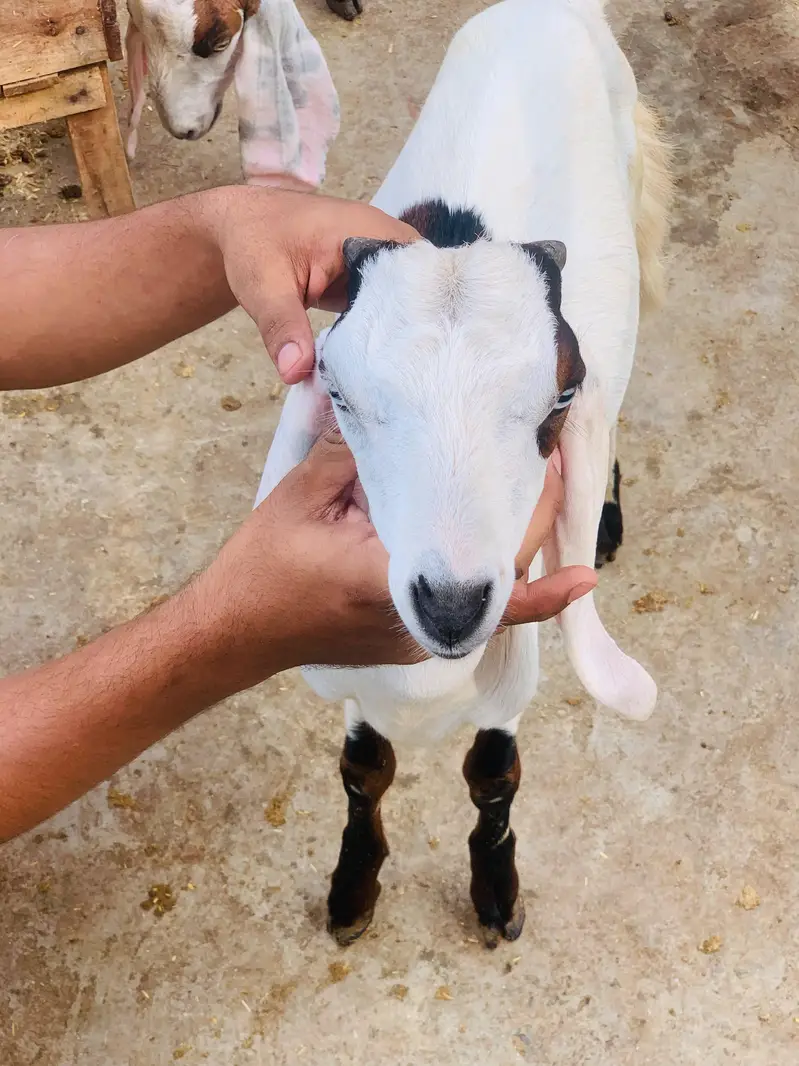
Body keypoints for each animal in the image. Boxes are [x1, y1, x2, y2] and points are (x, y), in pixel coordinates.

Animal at [256, 0, 673, 948]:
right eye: (338, 393)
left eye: (560, 395)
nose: (449, 604)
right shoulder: (359, 683)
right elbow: (363, 768)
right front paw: (352, 891)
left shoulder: (509, 669)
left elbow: (492, 775)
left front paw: (495, 893)